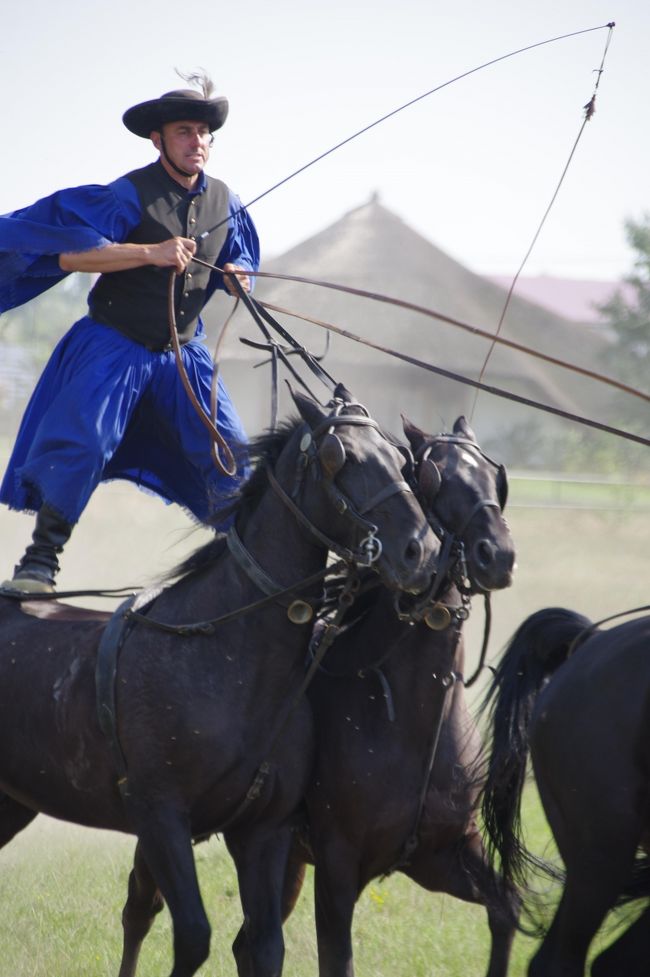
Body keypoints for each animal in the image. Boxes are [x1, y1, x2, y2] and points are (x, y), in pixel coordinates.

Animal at [0, 386, 440, 972]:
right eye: (338, 456)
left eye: (401, 458)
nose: (422, 551)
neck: (225, 654)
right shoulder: (160, 816)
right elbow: (192, 935)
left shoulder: (263, 832)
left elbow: (264, 945)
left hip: (12, 801)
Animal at [230, 418, 512, 976]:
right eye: (432, 476)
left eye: (494, 475)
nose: (498, 554)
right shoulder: (338, 867)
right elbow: (337, 958)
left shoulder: (445, 856)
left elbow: (506, 913)